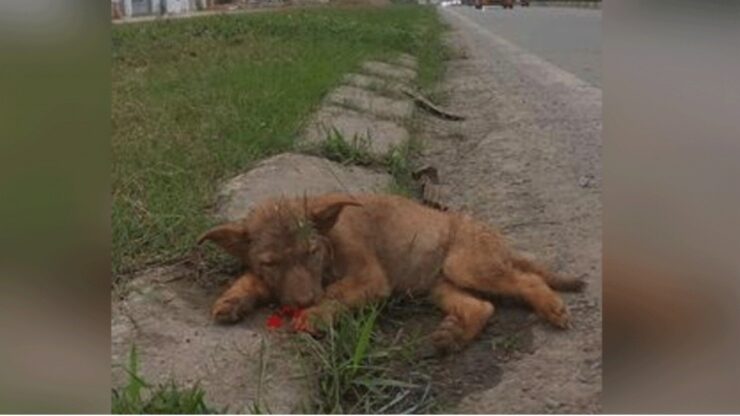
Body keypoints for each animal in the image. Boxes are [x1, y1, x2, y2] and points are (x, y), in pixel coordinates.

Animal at [198, 193, 584, 352]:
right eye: (271, 263)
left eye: (311, 253)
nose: (303, 301)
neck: (331, 248)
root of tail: (499, 241)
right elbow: (252, 279)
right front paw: (233, 299)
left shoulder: (372, 280)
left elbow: (338, 294)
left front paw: (317, 314)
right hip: (439, 284)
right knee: (482, 306)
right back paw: (452, 336)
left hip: (466, 264)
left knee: (528, 279)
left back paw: (552, 308)